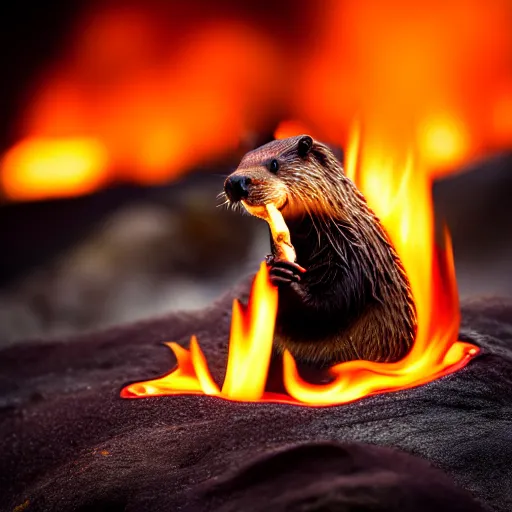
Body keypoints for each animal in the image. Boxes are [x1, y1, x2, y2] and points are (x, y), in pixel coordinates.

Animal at [223, 136, 416, 364]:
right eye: (239, 164)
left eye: (274, 164)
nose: (235, 182)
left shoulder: (358, 265)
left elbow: (330, 307)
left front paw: (284, 275)